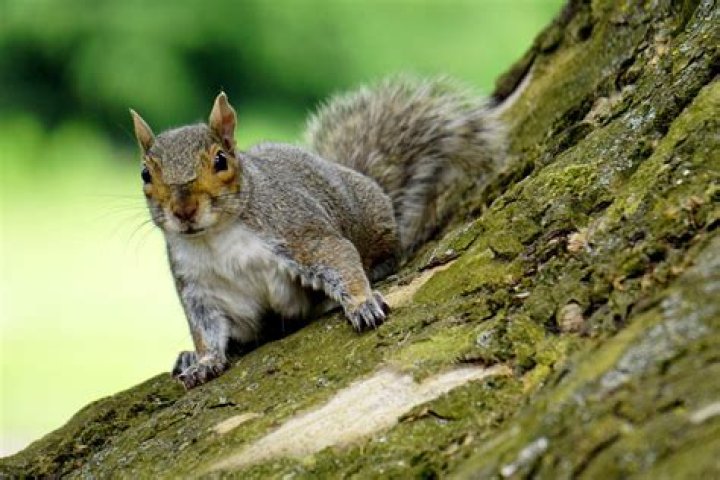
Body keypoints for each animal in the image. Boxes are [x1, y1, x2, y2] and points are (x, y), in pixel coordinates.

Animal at [130, 76, 505, 389]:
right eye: (145, 174)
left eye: (221, 160)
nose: (184, 211)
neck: (216, 237)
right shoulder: (200, 287)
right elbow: (206, 329)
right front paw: (204, 361)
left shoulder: (299, 232)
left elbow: (338, 257)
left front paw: (362, 304)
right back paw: (188, 357)